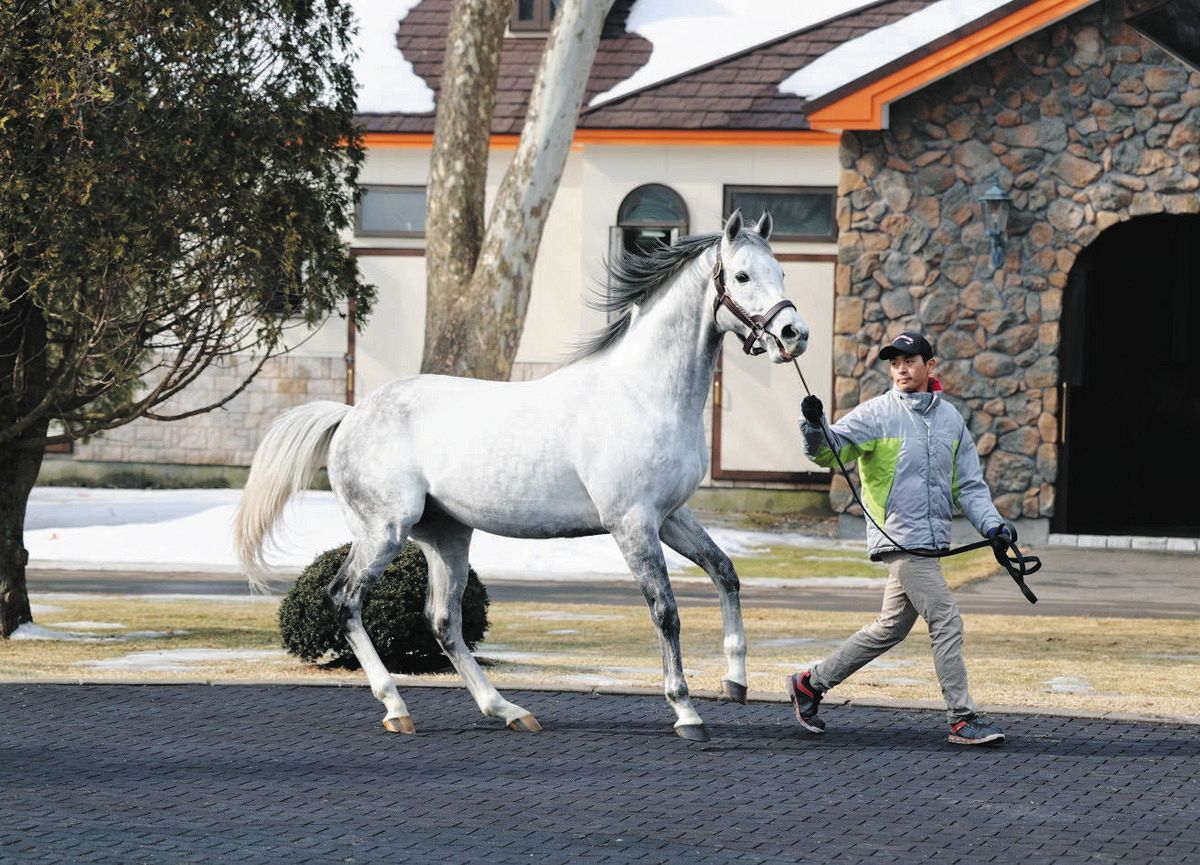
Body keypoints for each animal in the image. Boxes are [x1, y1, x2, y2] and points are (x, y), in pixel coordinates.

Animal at [236, 211, 806, 743]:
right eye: (742, 275)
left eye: (781, 271)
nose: (793, 335)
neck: (642, 393)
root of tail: (350, 414)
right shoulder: (633, 523)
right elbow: (665, 610)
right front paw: (687, 712)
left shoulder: (671, 517)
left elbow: (725, 572)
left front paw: (736, 681)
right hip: (383, 531)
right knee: (345, 600)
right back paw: (397, 708)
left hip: (446, 535)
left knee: (443, 621)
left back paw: (508, 711)